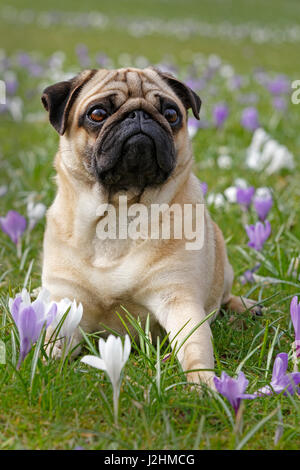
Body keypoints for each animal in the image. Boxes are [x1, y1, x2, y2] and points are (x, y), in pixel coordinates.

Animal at [40, 67, 260, 390]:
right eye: (97, 113)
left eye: (171, 114)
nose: (139, 115)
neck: (119, 214)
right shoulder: (70, 303)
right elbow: (51, 342)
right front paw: (39, 366)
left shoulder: (179, 299)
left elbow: (194, 345)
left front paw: (203, 383)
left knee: (224, 297)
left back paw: (245, 307)